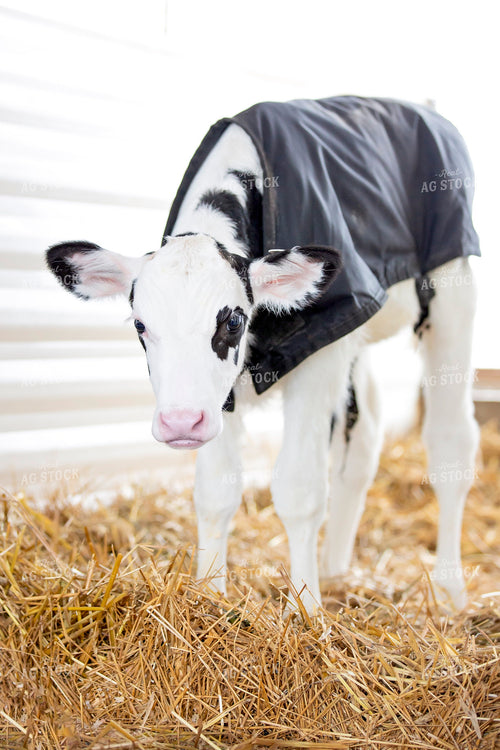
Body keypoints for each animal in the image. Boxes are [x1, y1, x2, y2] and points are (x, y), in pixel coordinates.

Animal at [46, 96, 480, 613]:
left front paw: (306, 612)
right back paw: (337, 570)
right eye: (139, 325)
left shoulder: (320, 350)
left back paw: (450, 590)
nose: (179, 422)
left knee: (451, 442)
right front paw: (208, 600)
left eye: (233, 320)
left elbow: (299, 489)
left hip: (452, 290)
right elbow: (214, 491)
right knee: (365, 437)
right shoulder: (223, 394)